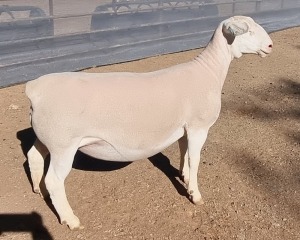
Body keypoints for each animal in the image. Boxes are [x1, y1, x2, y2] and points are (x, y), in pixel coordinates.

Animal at [27, 15, 274, 230]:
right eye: (248, 31)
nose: (271, 46)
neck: (209, 71)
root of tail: (35, 89)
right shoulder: (198, 126)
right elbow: (194, 159)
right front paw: (195, 194)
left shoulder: (184, 126)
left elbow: (183, 151)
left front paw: (184, 176)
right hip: (63, 144)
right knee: (55, 180)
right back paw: (70, 219)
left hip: (47, 137)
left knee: (34, 156)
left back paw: (39, 190)